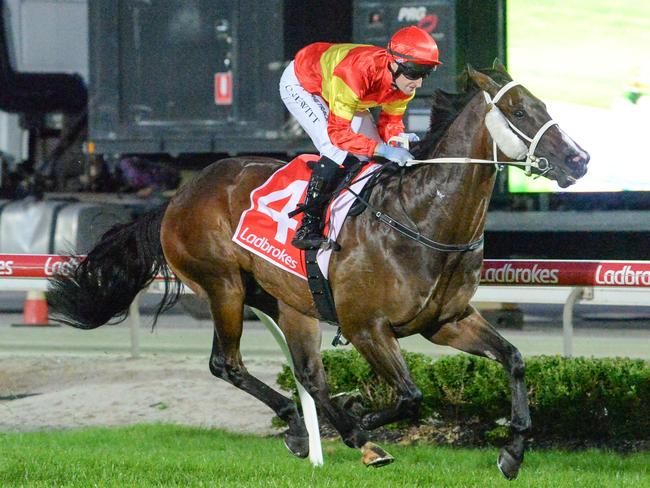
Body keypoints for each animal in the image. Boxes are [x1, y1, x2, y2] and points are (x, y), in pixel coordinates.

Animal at [49, 63, 588, 478]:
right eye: (519, 112)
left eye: (543, 105)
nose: (579, 159)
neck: (421, 217)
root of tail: (178, 197)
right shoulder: (366, 326)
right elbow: (410, 396)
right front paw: (361, 419)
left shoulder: (446, 321)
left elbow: (514, 360)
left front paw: (513, 451)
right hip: (223, 286)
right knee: (229, 364)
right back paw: (317, 426)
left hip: (289, 302)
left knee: (307, 374)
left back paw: (313, 429)